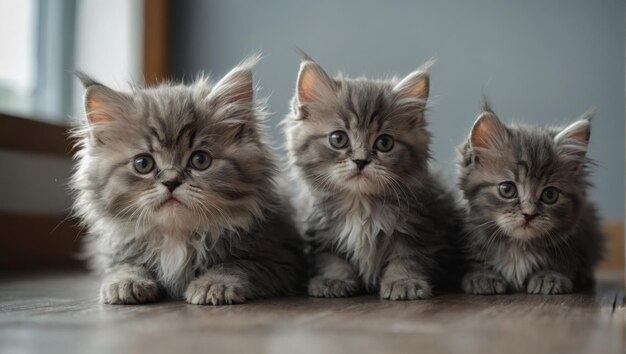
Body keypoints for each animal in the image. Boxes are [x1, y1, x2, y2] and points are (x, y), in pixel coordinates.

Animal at [71, 56, 304, 304]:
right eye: (143, 164)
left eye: (200, 160)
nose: (171, 182)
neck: (176, 237)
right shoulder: (113, 253)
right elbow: (123, 266)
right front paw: (126, 283)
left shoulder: (280, 258)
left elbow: (236, 266)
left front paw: (214, 284)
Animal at [282, 56, 458, 300]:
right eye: (338, 139)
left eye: (384, 143)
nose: (361, 161)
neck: (360, 205)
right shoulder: (323, 233)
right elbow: (332, 259)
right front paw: (333, 280)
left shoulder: (417, 229)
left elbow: (407, 258)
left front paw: (403, 282)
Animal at [456, 100, 604, 296]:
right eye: (507, 189)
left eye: (550, 195)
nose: (529, 214)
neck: (518, 247)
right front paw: (483, 276)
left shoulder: (575, 240)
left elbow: (563, 261)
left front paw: (549, 276)